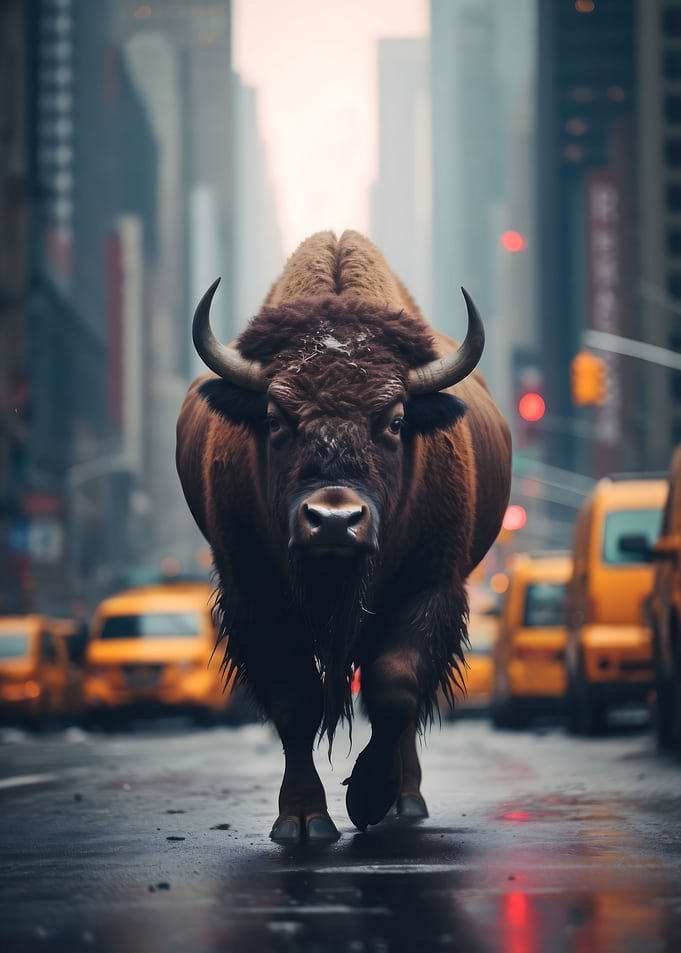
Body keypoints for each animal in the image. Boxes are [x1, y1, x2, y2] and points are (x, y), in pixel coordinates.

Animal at [176, 231, 511, 843]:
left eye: (396, 421)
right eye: (275, 418)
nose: (333, 520)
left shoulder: (428, 587)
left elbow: (394, 687)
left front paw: (369, 799)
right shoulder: (255, 595)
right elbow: (294, 703)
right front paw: (303, 820)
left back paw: (407, 801)